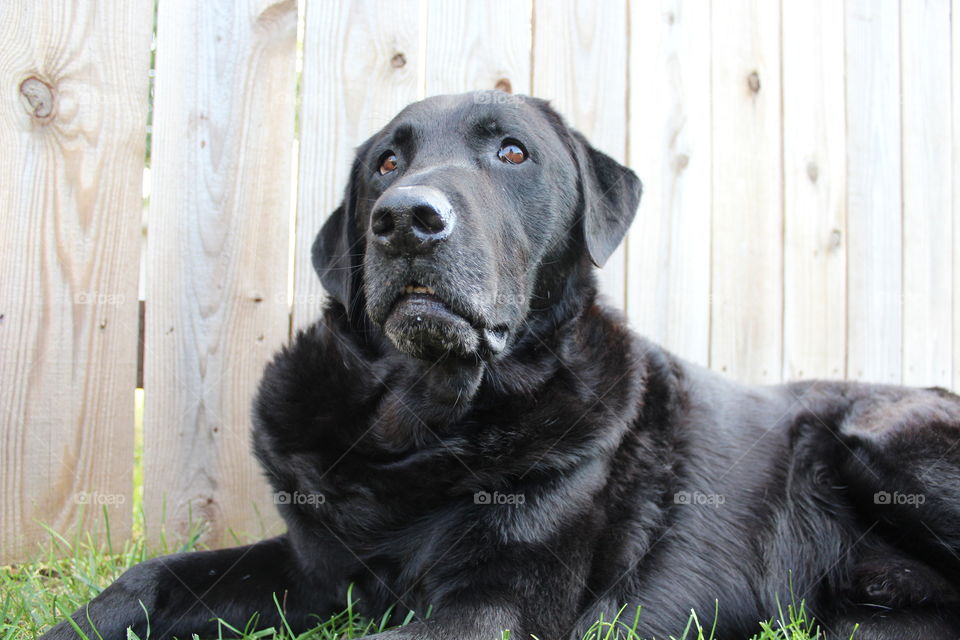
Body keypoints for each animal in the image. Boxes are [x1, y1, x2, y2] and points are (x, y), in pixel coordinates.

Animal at [43, 91, 960, 640]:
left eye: (512, 154)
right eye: (386, 162)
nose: (405, 218)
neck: (421, 427)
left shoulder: (496, 602)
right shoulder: (314, 569)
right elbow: (152, 577)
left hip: (882, 441)